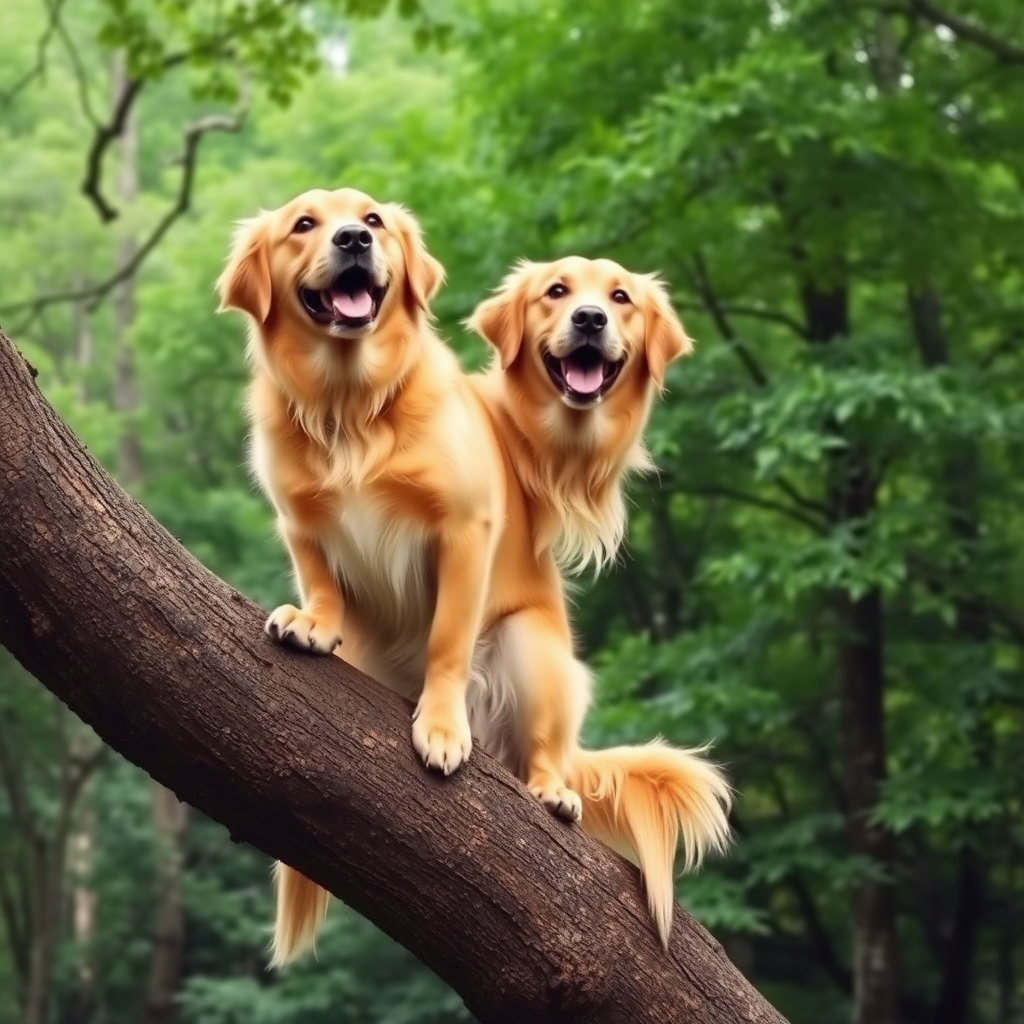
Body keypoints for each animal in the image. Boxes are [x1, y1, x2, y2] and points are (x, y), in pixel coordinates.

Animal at [214, 190, 729, 958]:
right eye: (304, 224)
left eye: (372, 220)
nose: (353, 239)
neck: (350, 400)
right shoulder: (299, 519)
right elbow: (322, 580)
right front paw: (313, 621)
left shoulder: (463, 531)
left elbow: (446, 644)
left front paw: (441, 729)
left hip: (534, 651)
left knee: (546, 752)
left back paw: (550, 787)